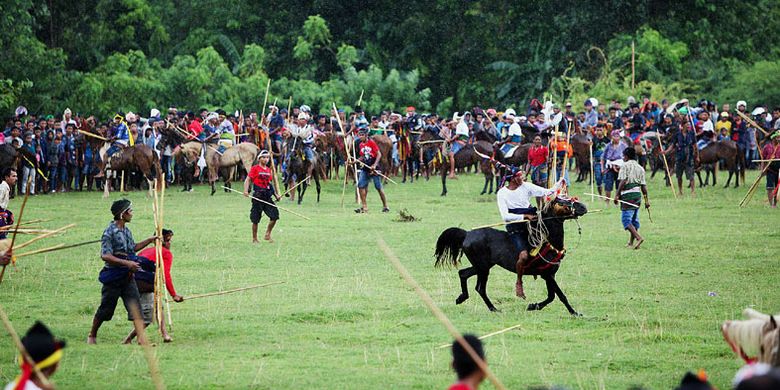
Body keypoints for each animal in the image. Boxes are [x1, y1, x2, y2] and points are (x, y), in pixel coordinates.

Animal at [432, 198, 584, 314]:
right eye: (561, 202)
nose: (582, 206)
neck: (546, 241)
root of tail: (467, 234)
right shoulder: (547, 275)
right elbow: (559, 295)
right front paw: (574, 313)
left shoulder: (549, 275)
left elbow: (552, 296)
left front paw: (533, 306)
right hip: (483, 268)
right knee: (480, 288)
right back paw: (494, 309)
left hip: (482, 266)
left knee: (463, 274)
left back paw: (461, 298)